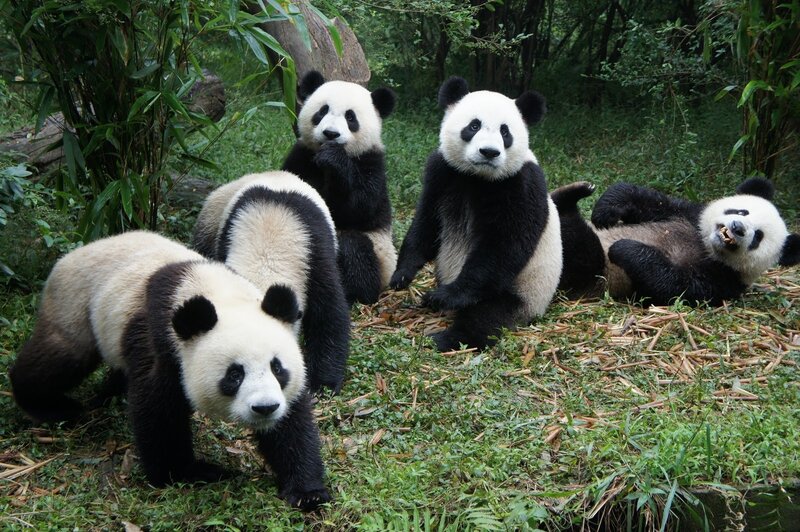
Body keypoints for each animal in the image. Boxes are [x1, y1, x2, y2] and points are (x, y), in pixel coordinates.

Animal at [9, 231, 330, 511]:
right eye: (234, 375)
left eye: (278, 368)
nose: (265, 408)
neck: (217, 294)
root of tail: (73, 254)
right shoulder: (161, 340)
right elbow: (158, 410)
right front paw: (190, 471)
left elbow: (291, 424)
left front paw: (306, 491)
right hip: (76, 305)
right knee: (59, 359)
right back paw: (50, 406)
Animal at [282, 70, 397, 305]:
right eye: (322, 111)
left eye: (350, 117)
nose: (331, 134)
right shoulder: (301, 156)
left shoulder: (371, 163)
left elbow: (358, 208)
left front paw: (334, 160)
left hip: (381, 256)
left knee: (353, 247)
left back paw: (355, 293)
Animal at [389, 76, 563, 352]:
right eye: (473, 125)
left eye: (505, 132)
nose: (489, 152)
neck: (478, 177)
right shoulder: (443, 172)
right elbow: (427, 224)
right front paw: (401, 275)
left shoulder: (521, 185)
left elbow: (504, 246)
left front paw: (447, 295)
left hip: (523, 291)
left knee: (487, 314)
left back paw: (448, 335)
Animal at [552, 178, 800, 305]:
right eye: (741, 211)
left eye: (758, 236)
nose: (737, 228)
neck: (706, 246)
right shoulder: (688, 216)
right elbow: (649, 201)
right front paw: (606, 211)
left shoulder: (723, 280)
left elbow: (673, 285)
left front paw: (624, 248)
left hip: (584, 274)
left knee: (582, 251)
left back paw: (568, 203)